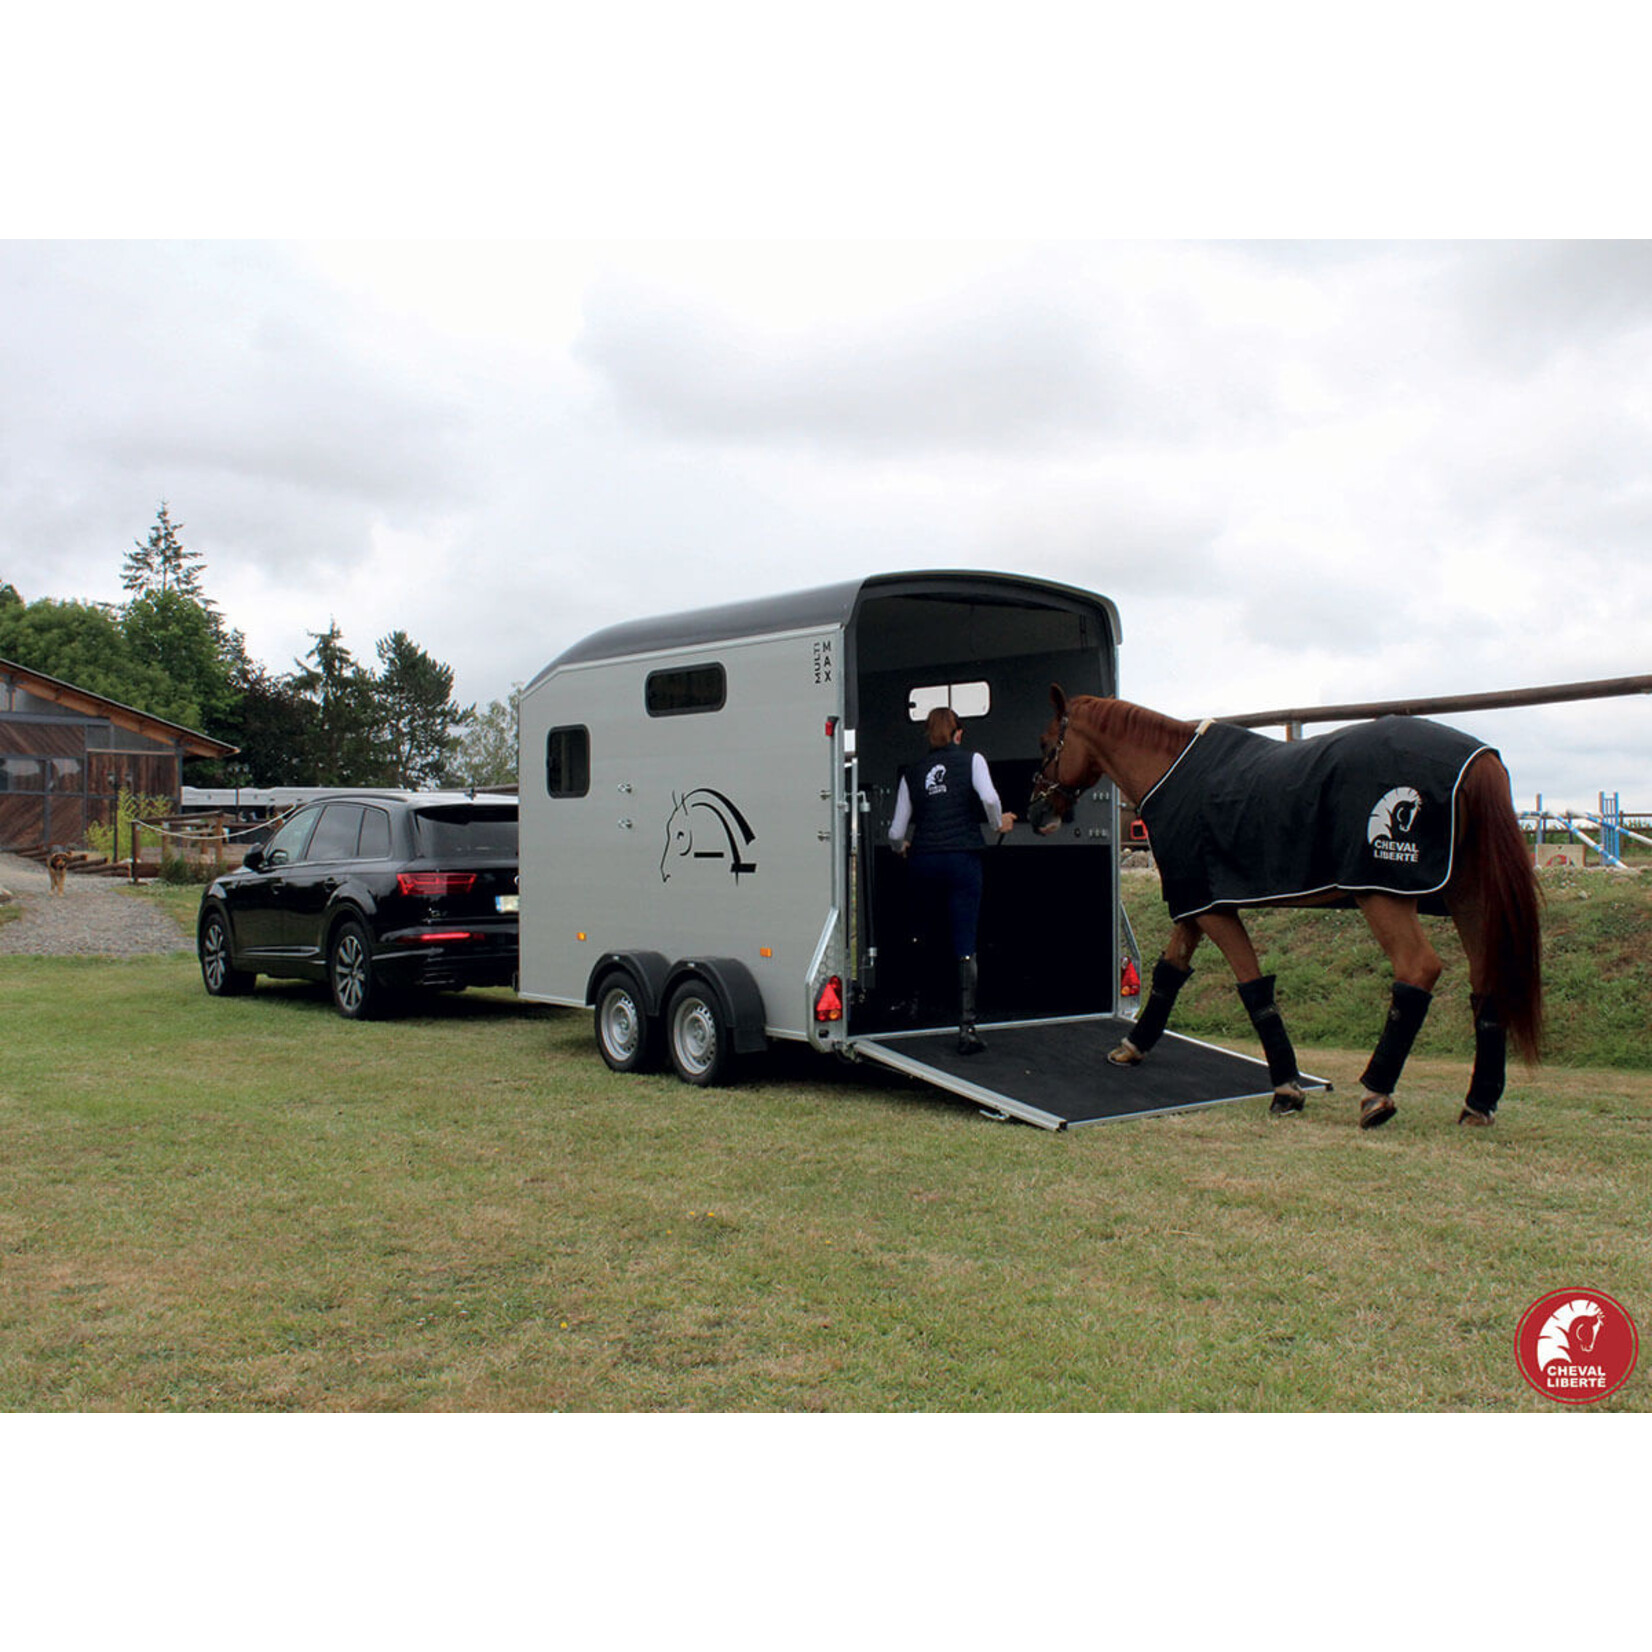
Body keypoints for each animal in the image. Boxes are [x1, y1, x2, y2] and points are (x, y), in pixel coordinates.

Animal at [1027, 686, 1543, 1129]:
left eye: (1048, 743)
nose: (1037, 814)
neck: (1171, 771)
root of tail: (1477, 759)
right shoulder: (1195, 905)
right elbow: (1169, 974)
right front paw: (1132, 1048)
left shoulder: (1213, 910)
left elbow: (1253, 987)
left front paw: (1287, 1089)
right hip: (1469, 899)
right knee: (1487, 983)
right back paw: (1478, 1103)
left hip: (1383, 896)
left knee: (1417, 970)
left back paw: (1376, 1094)